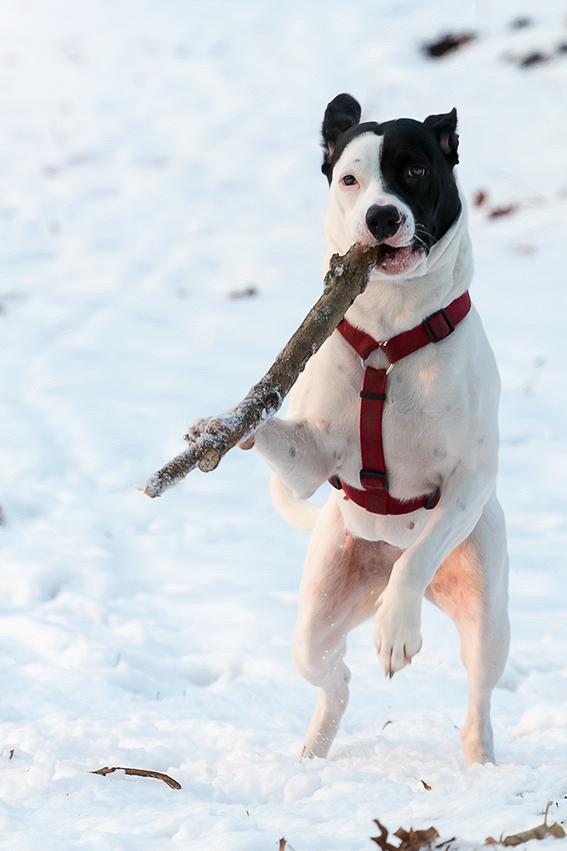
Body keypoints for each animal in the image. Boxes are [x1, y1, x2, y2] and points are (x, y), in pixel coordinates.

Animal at [248, 95, 510, 764]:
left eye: (414, 171)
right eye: (350, 179)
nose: (382, 215)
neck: (391, 329)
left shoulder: (469, 479)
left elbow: (419, 556)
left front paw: (397, 631)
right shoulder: (313, 457)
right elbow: (279, 434)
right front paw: (224, 423)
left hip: (486, 608)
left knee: (478, 695)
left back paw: (481, 764)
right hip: (319, 610)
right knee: (333, 676)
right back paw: (313, 752)